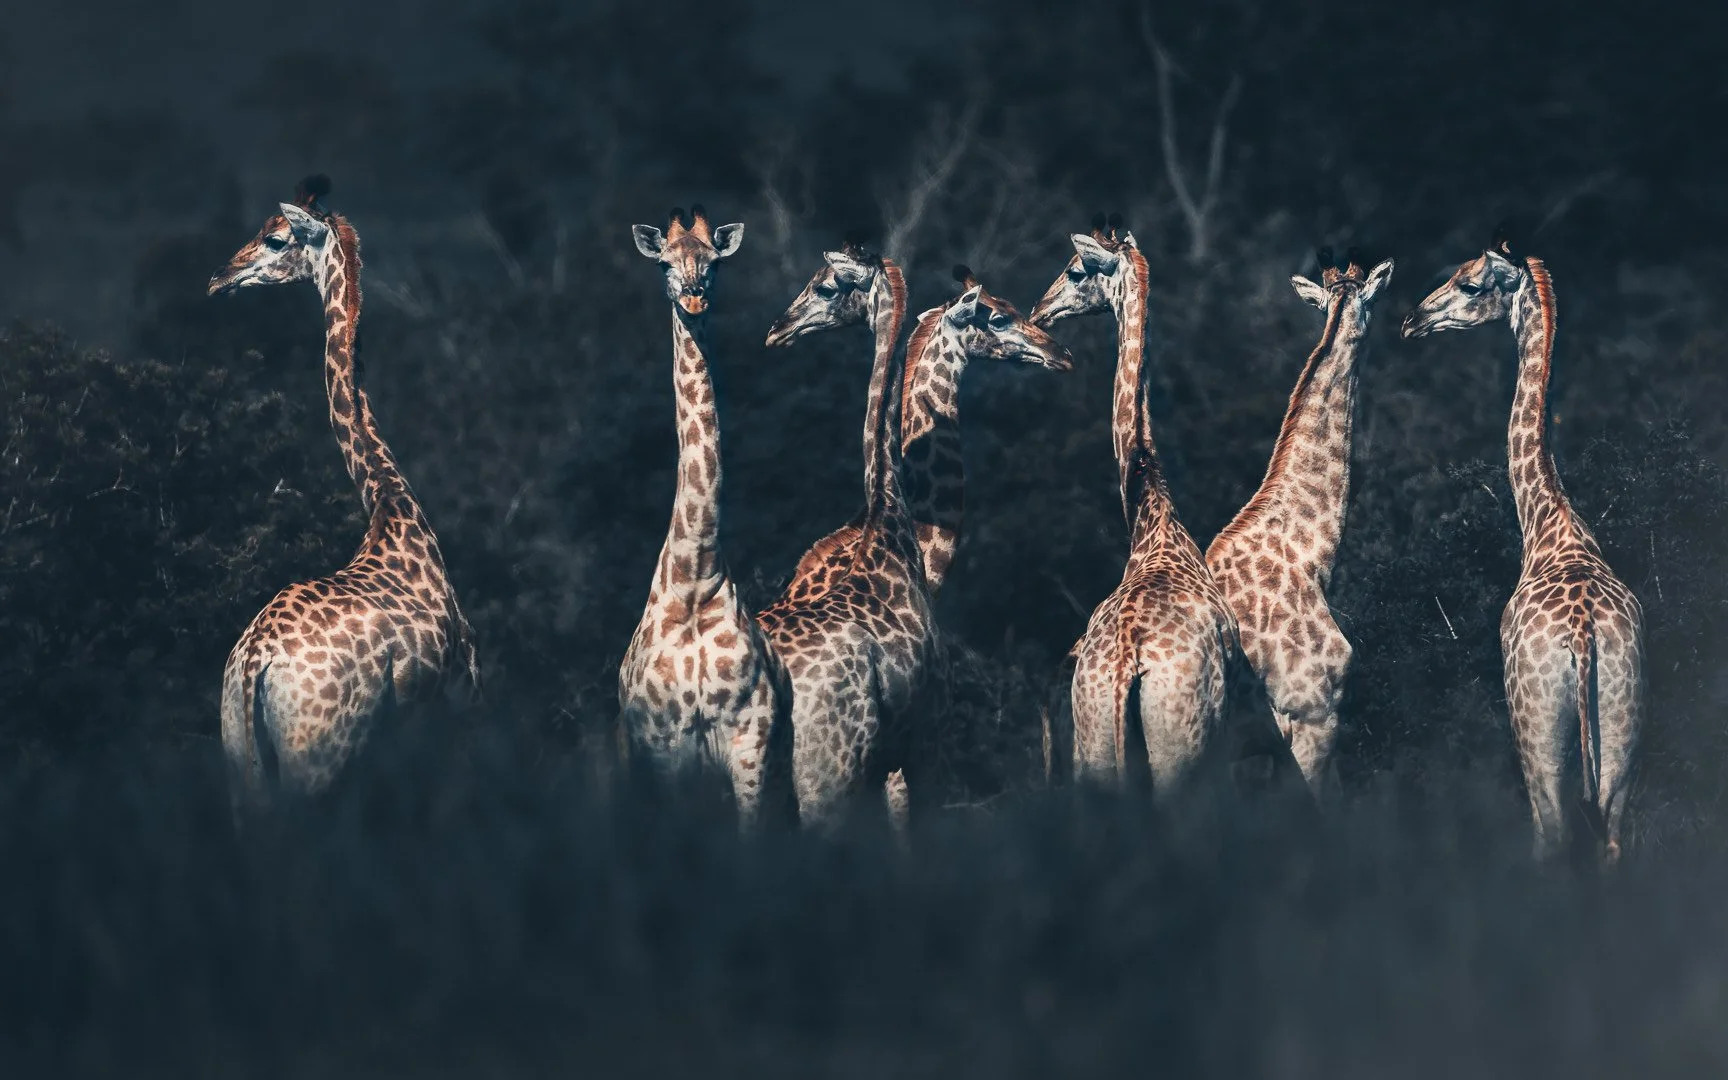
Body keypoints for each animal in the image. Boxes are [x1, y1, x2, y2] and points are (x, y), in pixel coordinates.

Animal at [207, 175, 479, 819]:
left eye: (275, 238)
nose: (219, 277)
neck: (392, 506)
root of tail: (255, 664)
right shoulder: (463, 695)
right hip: (320, 757)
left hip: (241, 760)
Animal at [617, 205, 787, 829]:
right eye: (665, 263)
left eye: (713, 263)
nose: (694, 298)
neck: (695, 577)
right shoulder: (665, 742)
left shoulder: (750, 739)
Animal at [1030, 215, 1239, 797]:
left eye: (1076, 270)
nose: (1039, 310)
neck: (1151, 516)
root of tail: (1127, 664)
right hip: (1183, 749)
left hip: (1096, 743)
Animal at [1404, 225, 1644, 865]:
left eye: (1469, 283)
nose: (1412, 320)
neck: (1548, 522)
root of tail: (1584, 636)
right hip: (1623, 727)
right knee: (1614, 839)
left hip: (1537, 736)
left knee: (1550, 835)